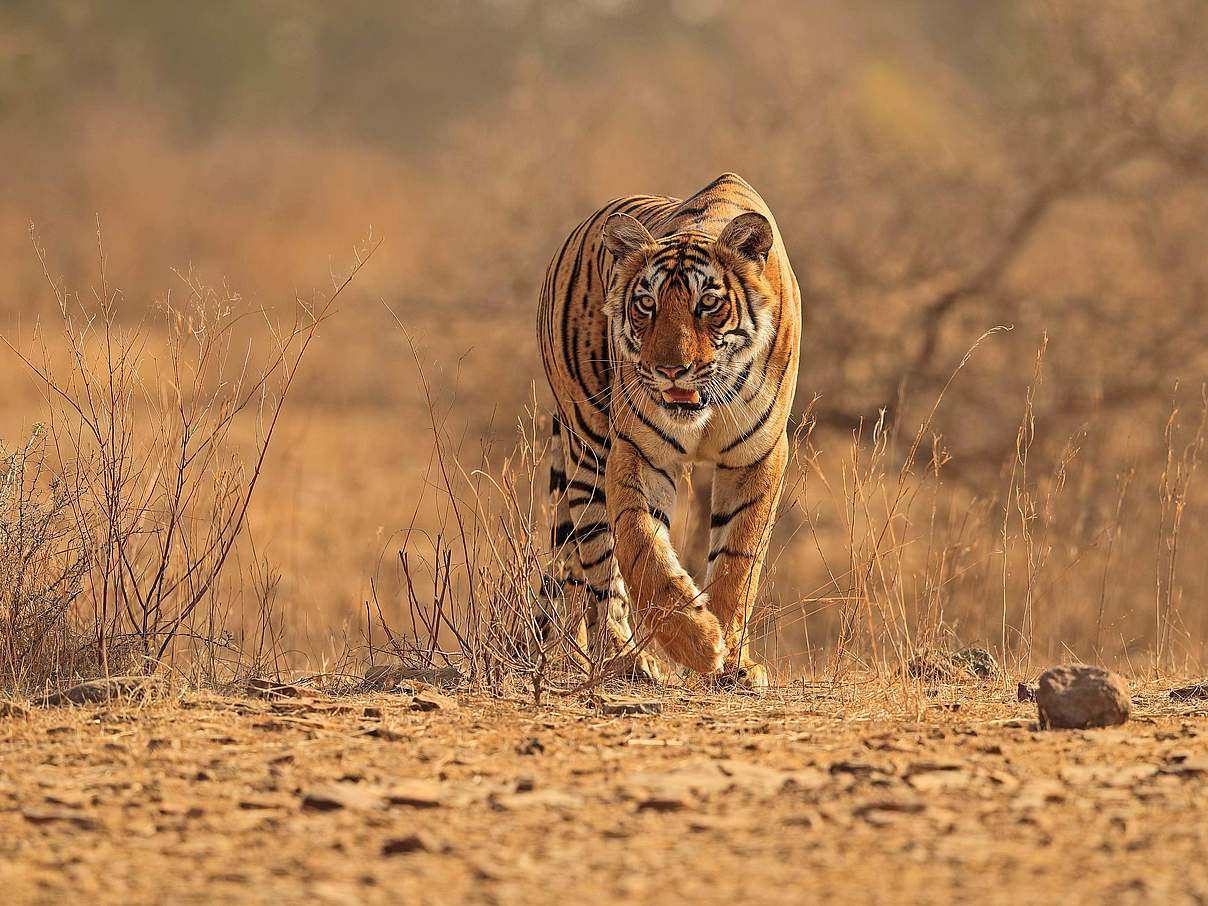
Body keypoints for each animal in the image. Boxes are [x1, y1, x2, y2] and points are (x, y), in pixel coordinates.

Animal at [538, 173, 802, 690]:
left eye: (708, 304)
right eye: (646, 304)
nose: (669, 370)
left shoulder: (757, 455)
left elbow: (738, 561)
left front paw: (734, 663)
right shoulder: (639, 450)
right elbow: (641, 547)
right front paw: (697, 642)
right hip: (586, 451)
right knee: (599, 572)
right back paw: (625, 659)